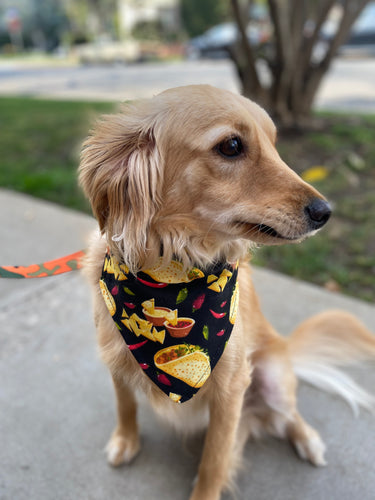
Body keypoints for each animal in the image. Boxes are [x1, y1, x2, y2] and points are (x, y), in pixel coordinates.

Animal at [79, 84, 375, 498]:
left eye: (273, 142)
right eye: (232, 145)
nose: (325, 212)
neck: (173, 271)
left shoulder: (230, 389)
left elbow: (214, 461)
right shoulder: (116, 359)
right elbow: (126, 406)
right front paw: (125, 440)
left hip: (271, 375)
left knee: (289, 414)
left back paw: (308, 439)